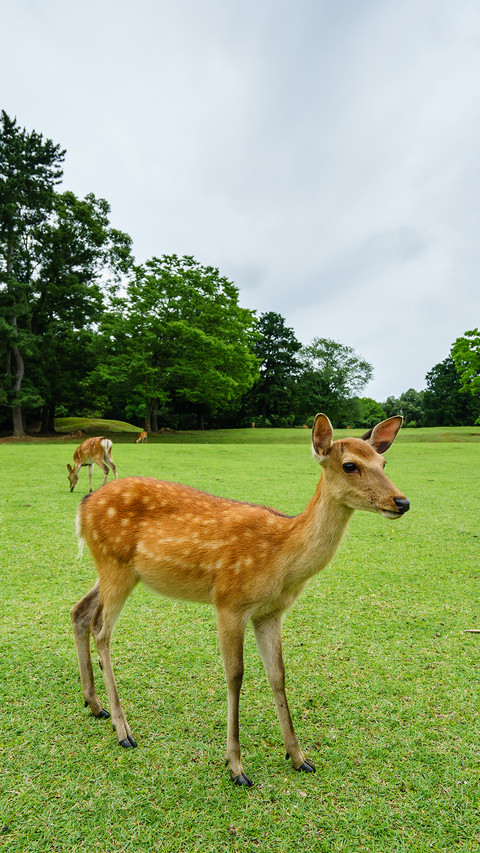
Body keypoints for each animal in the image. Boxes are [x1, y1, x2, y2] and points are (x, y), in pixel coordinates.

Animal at [70, 414, 409, 787]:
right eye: (350, 465)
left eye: (383, 462)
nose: (401, 502)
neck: (282, 559)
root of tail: (82, 508)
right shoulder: (229, 601)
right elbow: (235, 674)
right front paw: (236, 767)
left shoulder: (271, 613)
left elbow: (278, 675)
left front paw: (299, 757)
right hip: (115, 564)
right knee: (101, 629)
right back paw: (123, 731)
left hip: (117, 570)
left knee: (79, 611)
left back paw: (94, 705)